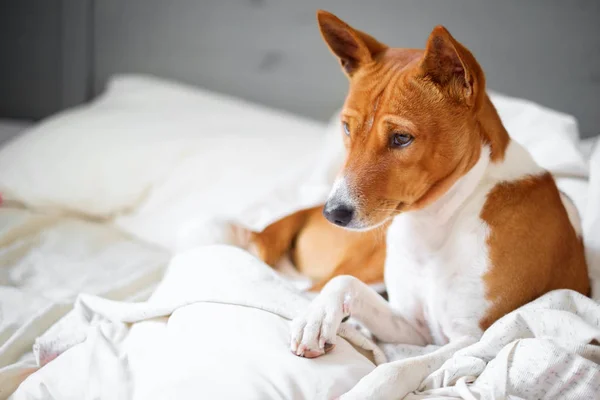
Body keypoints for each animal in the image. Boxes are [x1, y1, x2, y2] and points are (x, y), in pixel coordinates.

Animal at [236, 9, 592, 396]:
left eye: (401, 138)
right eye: (346, 128)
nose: (333, 213)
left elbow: (399, 367)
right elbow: (345, 283)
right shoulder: (414, 325)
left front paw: (365, 390)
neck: (437, 224)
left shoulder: (471, 338)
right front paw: (316, 318)